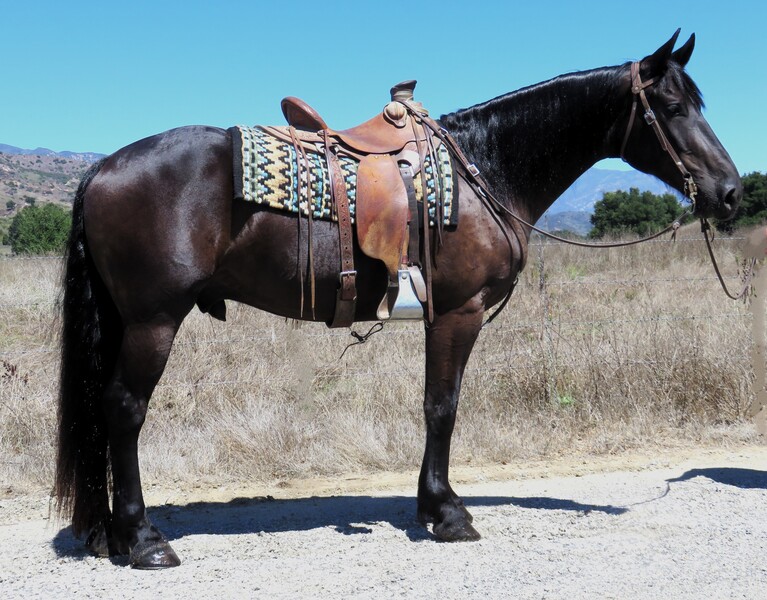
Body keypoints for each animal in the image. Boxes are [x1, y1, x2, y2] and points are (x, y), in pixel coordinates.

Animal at [55, 31, 744, 568]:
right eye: (673, 105)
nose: (731, 192)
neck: (485, 168)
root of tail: (104, 168)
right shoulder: (460, 313)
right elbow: (443, 407)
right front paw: (449, 513)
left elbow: (436, 405)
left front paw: (430, 504)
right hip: (152, 321)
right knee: (124, 410)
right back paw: (144, 539)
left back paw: (114, 535)